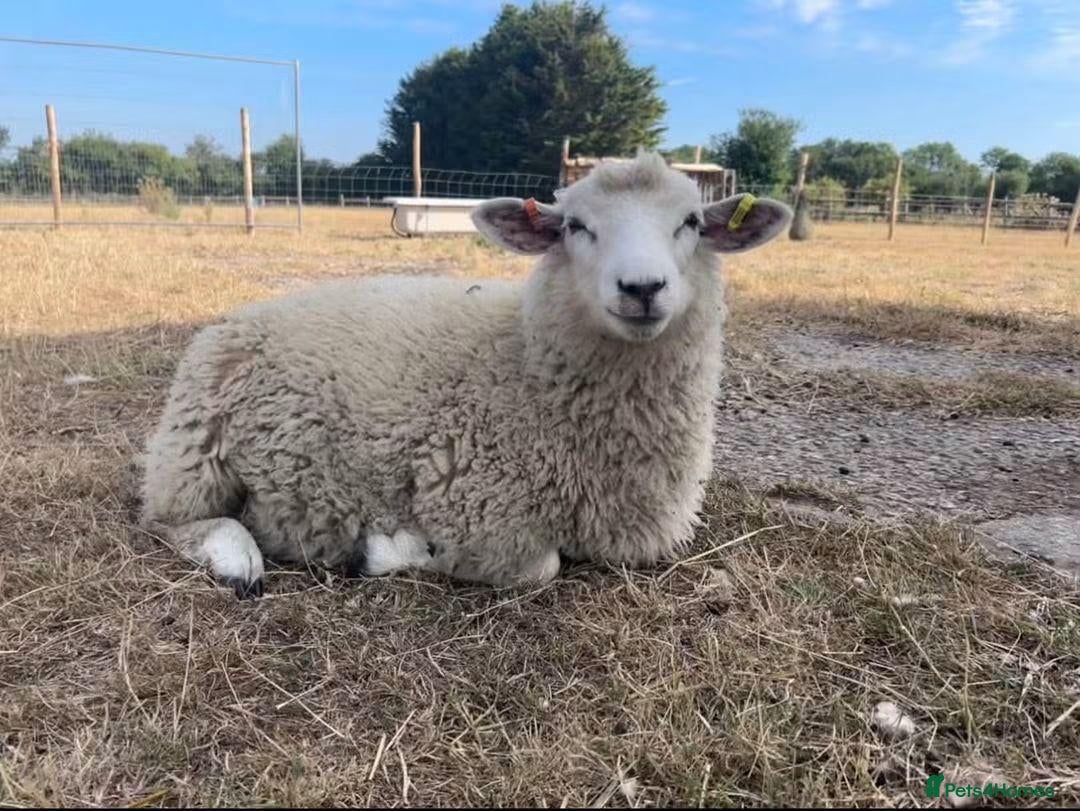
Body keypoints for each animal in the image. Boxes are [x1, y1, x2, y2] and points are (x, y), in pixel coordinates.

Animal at [140, 152, 792, 597]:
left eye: (691, 222)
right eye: (575, 226)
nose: (642, 287)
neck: (525, 366)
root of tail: (239, 317)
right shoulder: (476, 508)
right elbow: (539, 568)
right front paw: (389, 549)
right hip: (195, 452)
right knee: (164, 519)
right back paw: (239, 557)